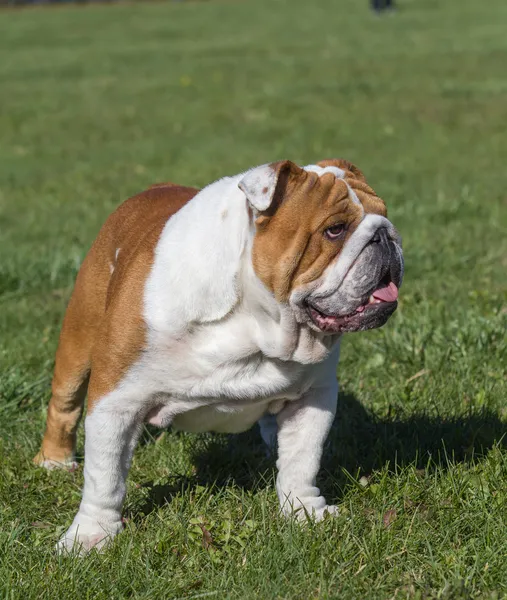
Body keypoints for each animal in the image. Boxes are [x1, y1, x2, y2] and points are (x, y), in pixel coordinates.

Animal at [33, 159, 404, 552]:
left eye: (384, 213)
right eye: (335, 230)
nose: (385, 235)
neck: (256, 322)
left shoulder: (313, 398)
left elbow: (302, 460)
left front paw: (304, 510)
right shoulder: (116, 400)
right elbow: (105, 475)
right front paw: (91, 534)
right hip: (78, 337)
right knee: (64, 405)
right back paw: (55, 461)